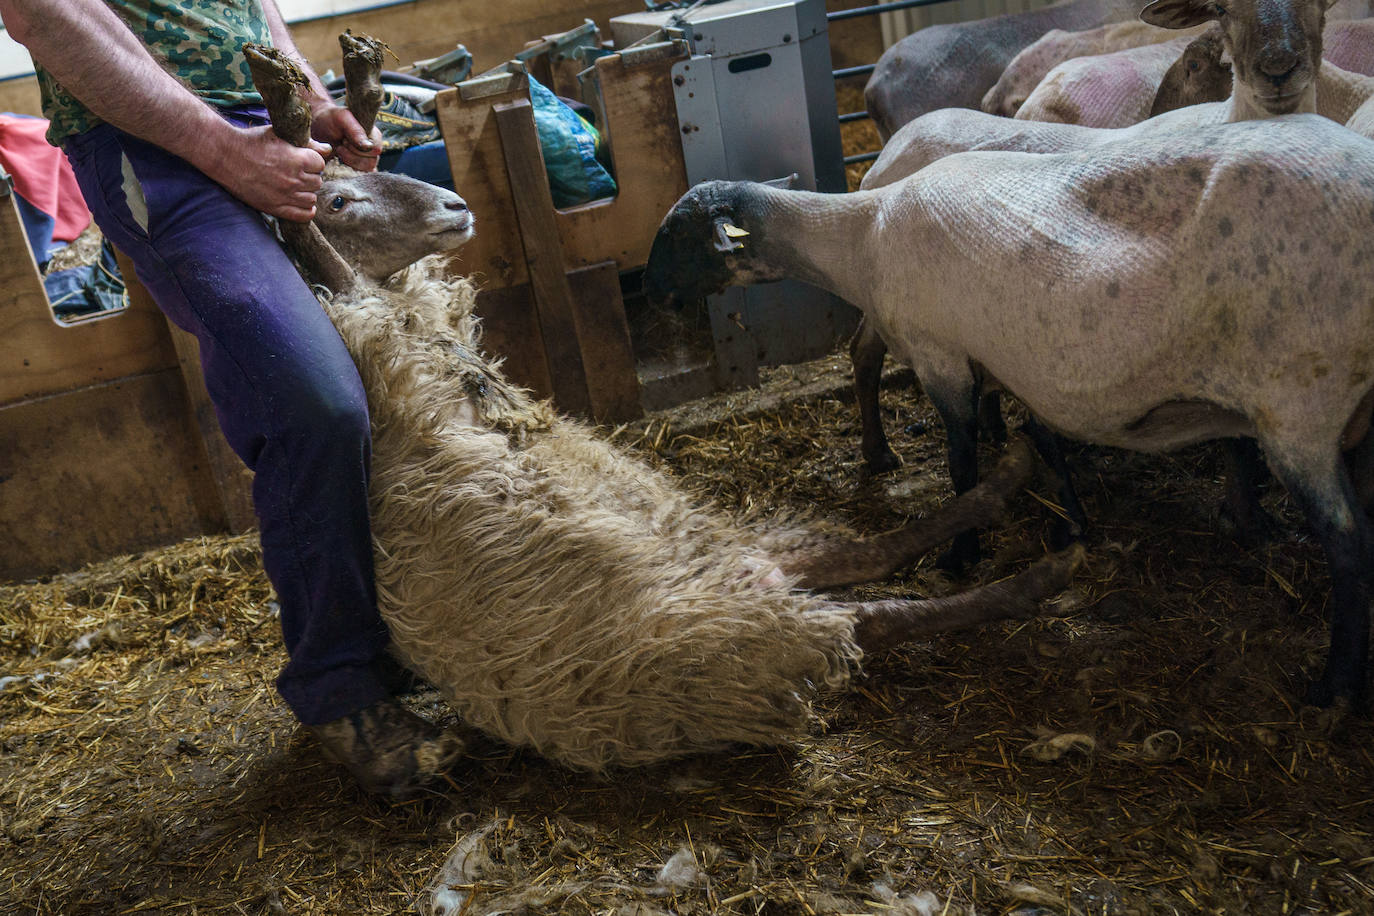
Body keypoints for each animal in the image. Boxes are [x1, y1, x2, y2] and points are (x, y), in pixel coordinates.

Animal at [247, 42, 1082, 774]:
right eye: (342, 195)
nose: (456, 204)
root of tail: (751, 580)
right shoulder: (375, 330)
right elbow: (310, 239)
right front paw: (286, 117)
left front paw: (319, 91)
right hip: (724, 638)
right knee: (871, 613)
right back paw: (1043, 571)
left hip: (728, 553)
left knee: (862, 556)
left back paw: (1008, 483)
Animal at [640, 116, 1374, 708]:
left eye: (674, 235)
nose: (652, 297)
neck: (859, 235)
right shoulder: (1014, 365)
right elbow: (1045, 445)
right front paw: (1073, 528)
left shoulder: (941, 355)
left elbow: (963, 467)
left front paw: (961, 553)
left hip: (1298, 401)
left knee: (1348, 543)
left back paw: (1334, 689)